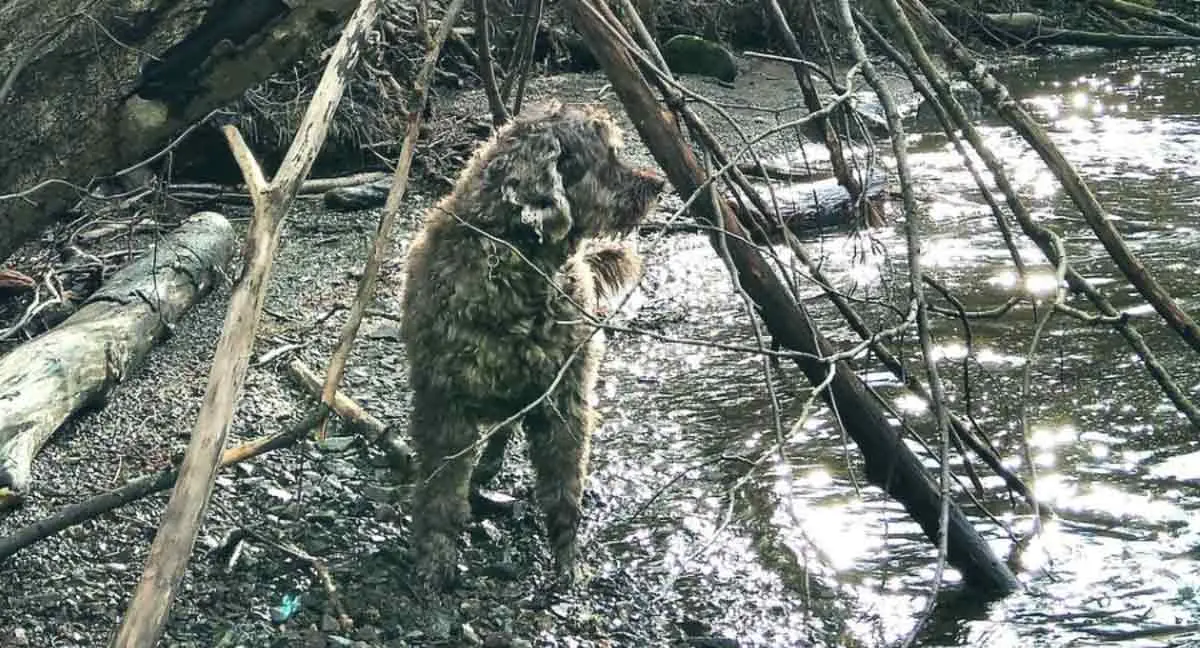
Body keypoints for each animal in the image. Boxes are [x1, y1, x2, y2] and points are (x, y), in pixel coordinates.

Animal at [400, 100, 667, 588]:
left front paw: (568, 562)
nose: (657, 184)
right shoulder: (443, 404)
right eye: (608, 155)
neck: (520, 262)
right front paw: (436, 556)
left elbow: (565, 492)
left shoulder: (566, 402)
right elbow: (440, 492)